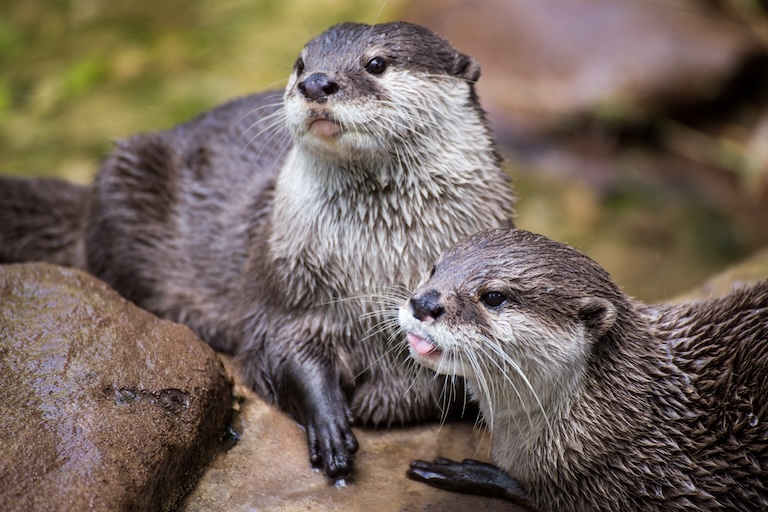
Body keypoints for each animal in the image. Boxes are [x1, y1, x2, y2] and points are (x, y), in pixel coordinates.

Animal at [0, 22, 516, 480]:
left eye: (376, 63)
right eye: (300, 63)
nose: (315, 82)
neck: (374, 268)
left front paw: (389, 398)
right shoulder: (283, 278)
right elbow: (275, 346)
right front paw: (329, 421)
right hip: (124, 179)